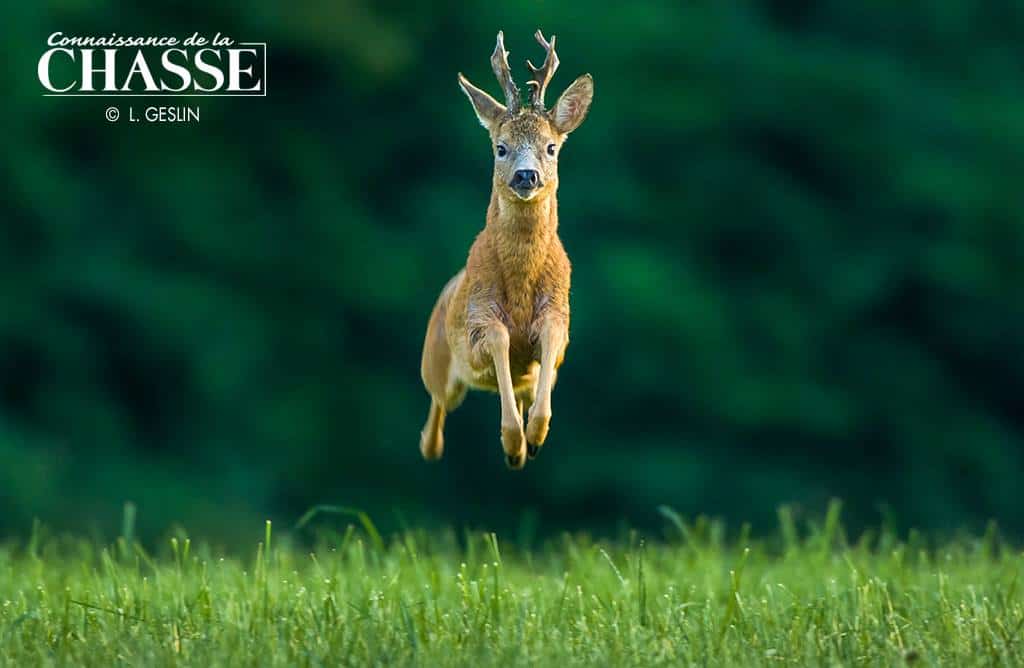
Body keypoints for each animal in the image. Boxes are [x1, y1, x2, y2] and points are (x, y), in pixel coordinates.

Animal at [417, 29, 593, 469]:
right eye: (500, 146)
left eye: (551, 147)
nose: (526, 176)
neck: (521, 279)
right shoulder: (478, 316)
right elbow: (498, 338)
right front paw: (513, 441)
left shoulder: (559, 312)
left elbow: (551, 343)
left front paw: (535, 436)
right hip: (435, 361)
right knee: (437, 404)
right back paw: (433, 445)